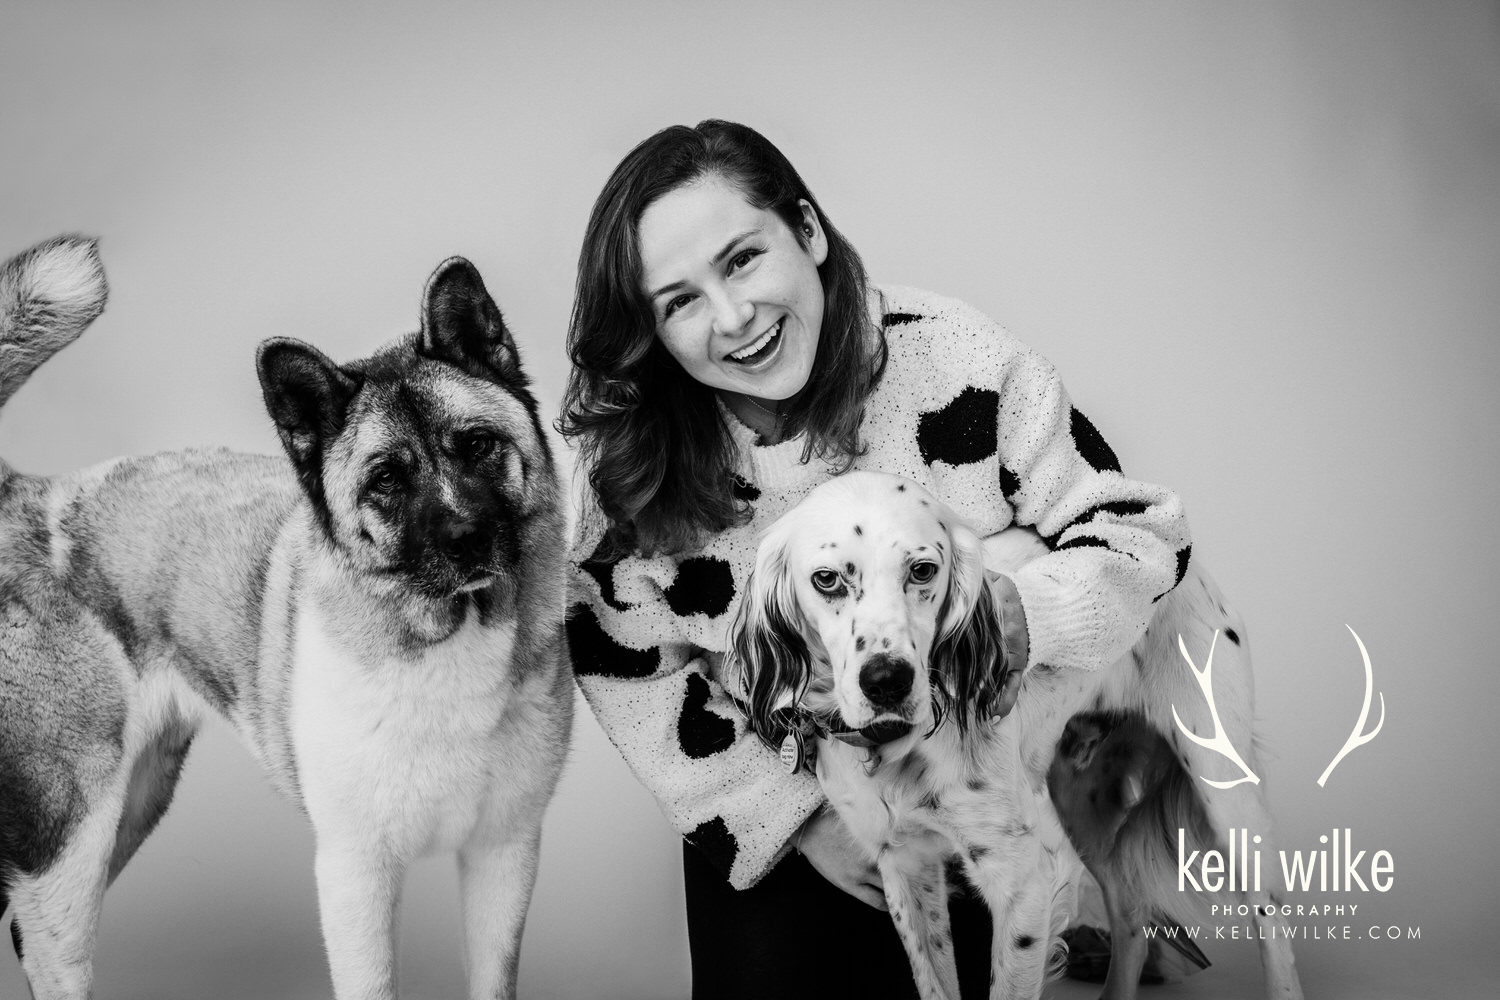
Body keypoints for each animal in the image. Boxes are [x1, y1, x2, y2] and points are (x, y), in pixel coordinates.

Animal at [0, 236, 570, 1000]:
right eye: (386, 480)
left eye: (477, 445)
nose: (468, 540)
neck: (445, 636)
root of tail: (30, 493)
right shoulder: (356, 873)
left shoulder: (501, 857)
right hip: (72, 834)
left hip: (133, 804)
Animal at [726, 473, 1302, 1000]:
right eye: (826, 580)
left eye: (922, 570)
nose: (887, 681)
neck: (897, 752)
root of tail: (1189, 564)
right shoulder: (905, 865)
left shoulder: (1023, 880)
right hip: (1082, 801)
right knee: (1131, 918)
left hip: (1226, 795)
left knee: (1272, 925)